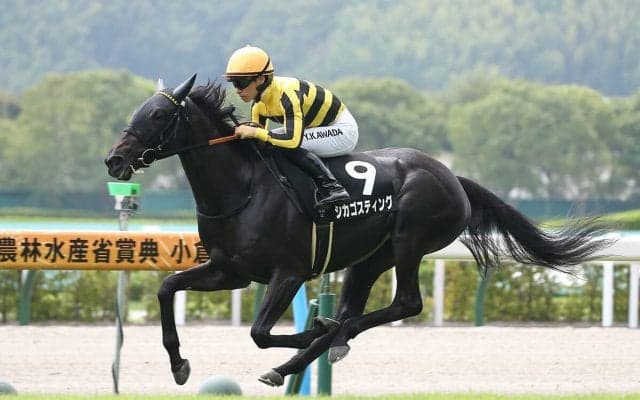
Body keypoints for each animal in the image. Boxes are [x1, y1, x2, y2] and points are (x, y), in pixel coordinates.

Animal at [105, 74, 612, 387]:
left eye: (157, 116)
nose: (114, 159)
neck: (242, 188)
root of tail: (451, 176)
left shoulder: (288, 272)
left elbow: (260, 332)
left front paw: (313, 330)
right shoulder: (230, 271)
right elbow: (167, 288)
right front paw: (179, 364)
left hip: (410, 240)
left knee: (405, 303)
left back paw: (323, 338)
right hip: (371, 257)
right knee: (356, 308)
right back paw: (310, 352)